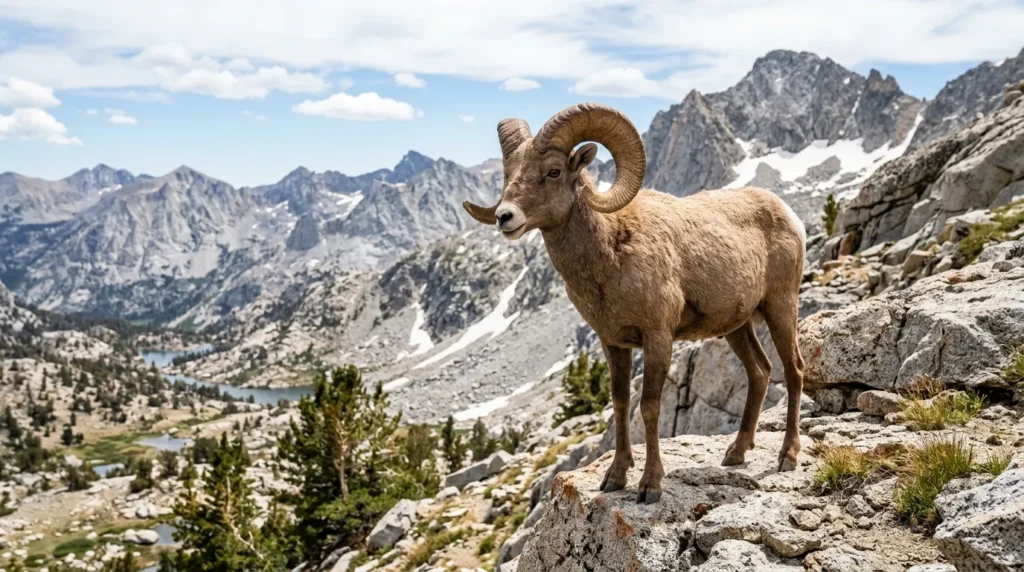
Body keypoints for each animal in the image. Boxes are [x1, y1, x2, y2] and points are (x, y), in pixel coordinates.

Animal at [463, 103, 807, 504]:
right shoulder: (613, 344)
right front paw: (615, 477)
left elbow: (649, 406)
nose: (505, 217)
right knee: (760, 371)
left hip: (780, 307)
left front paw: (650, 485)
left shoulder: (658, 338)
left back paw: (787, 456)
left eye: (553, 171)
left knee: (794, 370)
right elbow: (621, 403)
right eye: (509, 174)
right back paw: (736, 454)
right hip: (738, 325)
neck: (611, 254)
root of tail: (789, 216)